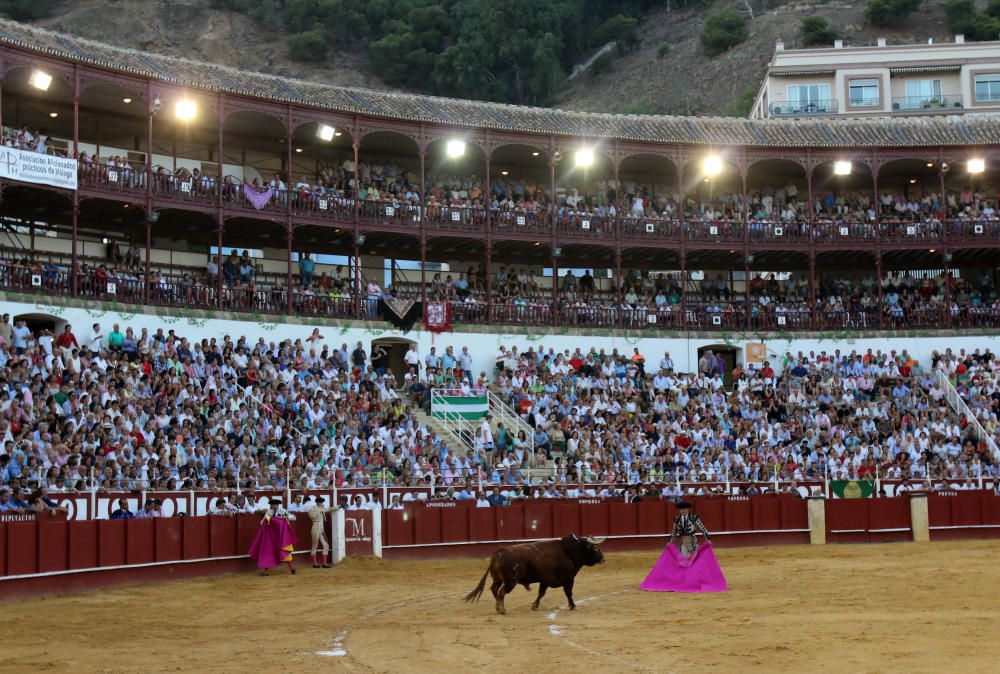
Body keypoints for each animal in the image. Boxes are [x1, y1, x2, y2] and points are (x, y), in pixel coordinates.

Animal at [464, 532, 604, 612]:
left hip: (498, 579)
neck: (568, 551)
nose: (603, 559)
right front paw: (573, 606)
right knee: (502, 592)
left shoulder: (545, 580)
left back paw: (498, 608)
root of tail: (500, 552)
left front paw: (534, 606)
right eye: (595, 548)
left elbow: (541, 593)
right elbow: (568, 593)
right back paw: (502, 610)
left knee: (494, 589)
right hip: (510, 581)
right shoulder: (568, 579)